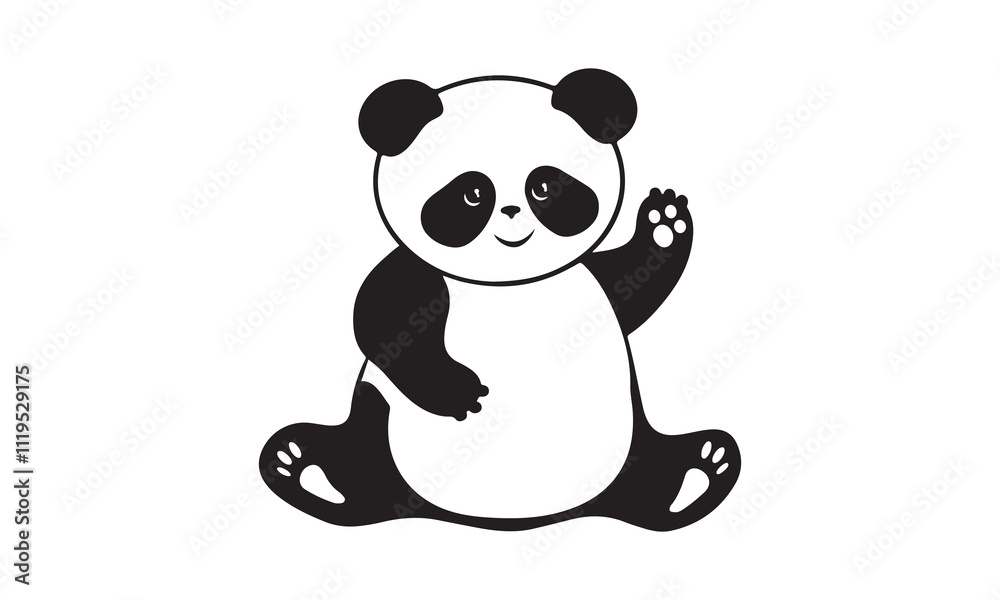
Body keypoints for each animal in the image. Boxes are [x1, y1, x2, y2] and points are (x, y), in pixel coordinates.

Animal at [260, 69, 740, 531]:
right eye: (472, 193)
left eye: (543, 186)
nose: (511, 212)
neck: (509, 284)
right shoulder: (417, 275)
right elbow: (383, 323)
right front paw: (459, 392)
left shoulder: (589, 280)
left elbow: (633, 284)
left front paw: (664, 223)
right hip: (379, 422)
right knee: (361, 463)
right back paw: (302, 465)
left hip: (632, 440)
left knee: (651, 472)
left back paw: (699, 469)